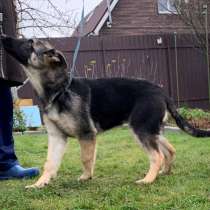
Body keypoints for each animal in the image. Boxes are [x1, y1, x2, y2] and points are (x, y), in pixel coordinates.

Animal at [1, 35, 210, 188]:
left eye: (29, 43)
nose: (3, 36)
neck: (59, 90)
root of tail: (162, 92)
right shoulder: (56, 137)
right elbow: (50, 163)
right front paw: (40, 184)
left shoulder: (86, 134)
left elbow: (85, 158)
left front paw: (86, 177)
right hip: (150, 129)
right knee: (169, 150)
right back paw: (163, 173)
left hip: (141, 129)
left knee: (156, 155)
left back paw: (148, 179)